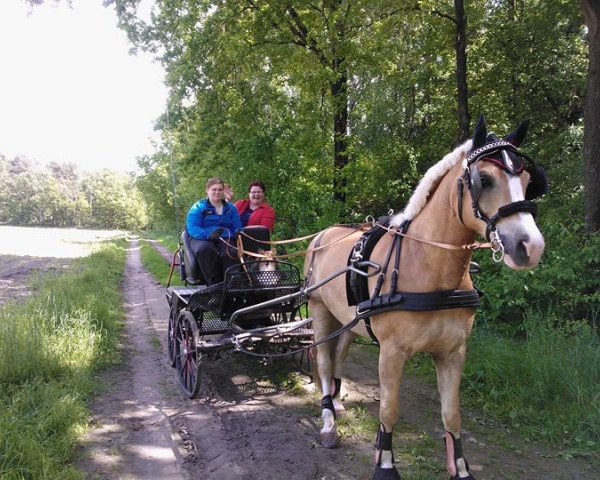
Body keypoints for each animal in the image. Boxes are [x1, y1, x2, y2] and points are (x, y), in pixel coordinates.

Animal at [304, 116, 548, 480]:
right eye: (484, 180)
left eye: (530, 180)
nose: (530, 246)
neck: (427, 265)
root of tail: (321, 235)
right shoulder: (391, 353)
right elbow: (389, 410)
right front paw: (385, 465)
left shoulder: (453, 352)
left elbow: (452, 415)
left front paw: (460, 469)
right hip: (319, 310)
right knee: (322, 361)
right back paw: (328, 422)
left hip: (348, 321)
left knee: (338, 358)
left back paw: (336, 402)